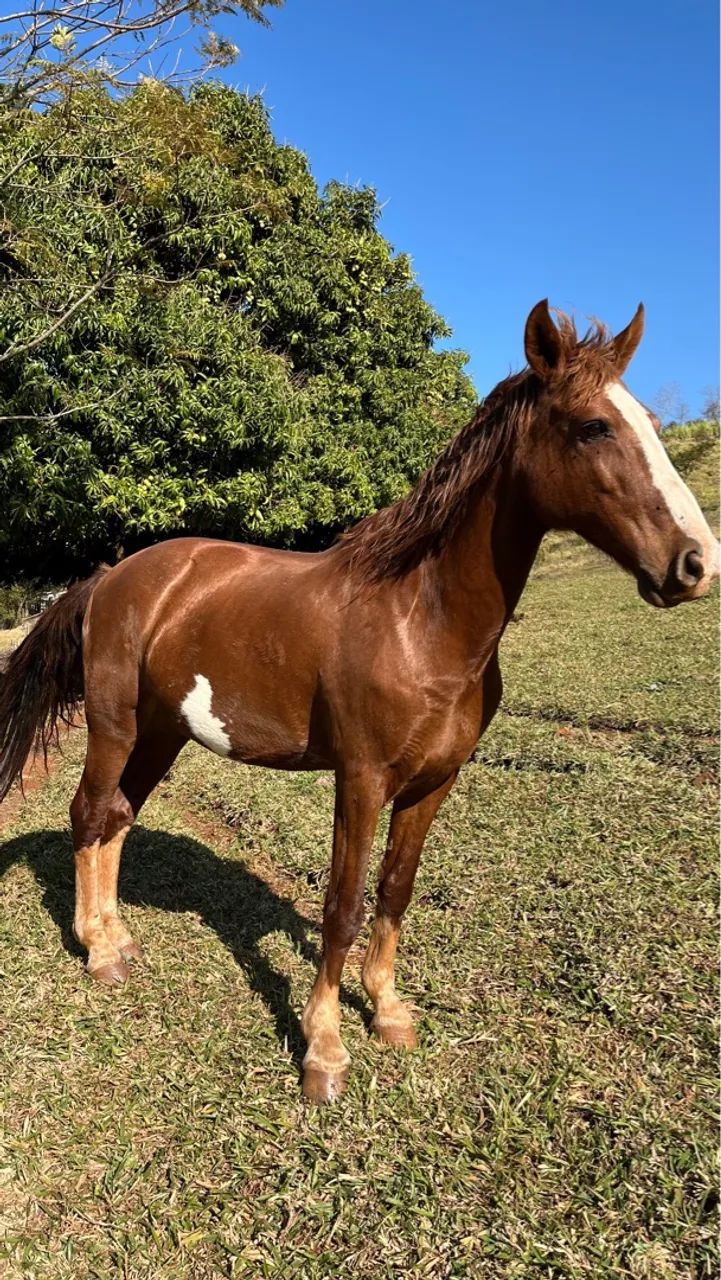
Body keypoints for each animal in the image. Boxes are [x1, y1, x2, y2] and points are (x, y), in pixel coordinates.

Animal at [0, 300, 718, 1103]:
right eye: (593, 427)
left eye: (650, 422)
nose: (696, 563)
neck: (420, 621)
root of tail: (111, 576)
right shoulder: (362, 779)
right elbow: (341, 906)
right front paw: (324, 1048)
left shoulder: (433, 784)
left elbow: (395, 891)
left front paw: (387, 1010)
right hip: (114, 727)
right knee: (90, 814)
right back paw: (97, 951)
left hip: (164, 734)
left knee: (119, 818)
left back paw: (119, 936)